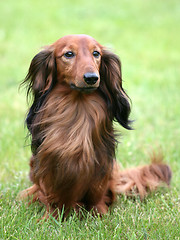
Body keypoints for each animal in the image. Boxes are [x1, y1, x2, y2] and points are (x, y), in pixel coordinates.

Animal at [19, 34, 172, 219]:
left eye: (96, 53)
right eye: (68, 54)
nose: (92, 77)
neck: (78, 107)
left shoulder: (100, 166)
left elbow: (97, 197)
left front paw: (102, 217)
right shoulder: (49, 164)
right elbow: (52, 197)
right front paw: (50, 218)